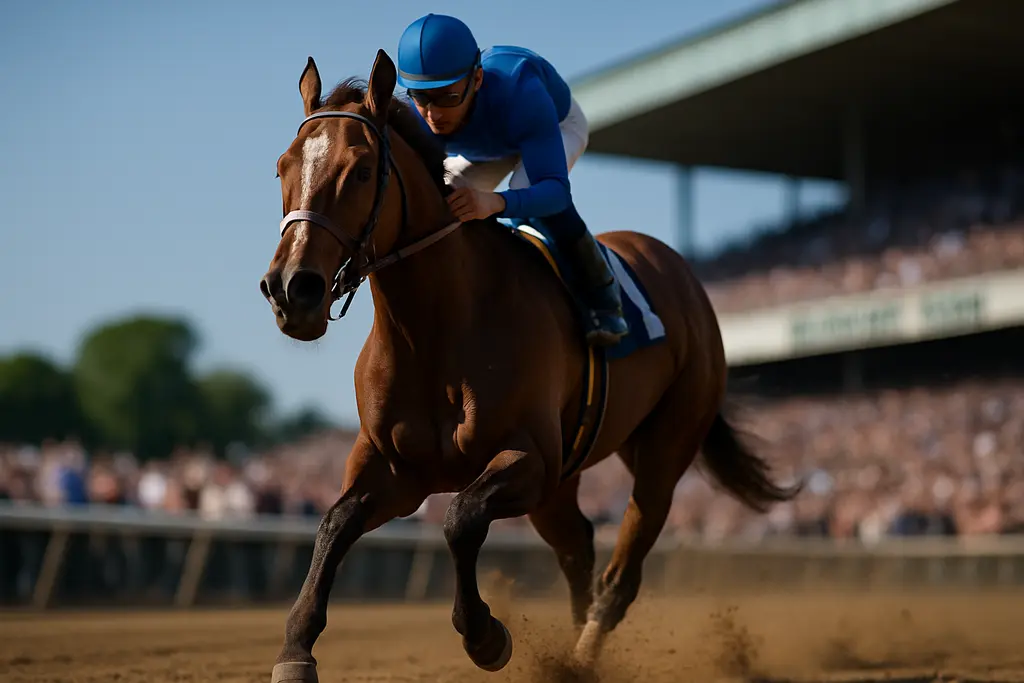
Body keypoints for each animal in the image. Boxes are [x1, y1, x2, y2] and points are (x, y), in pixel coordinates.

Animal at [259, 49, 799, 682]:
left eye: (362, 170)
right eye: (282, 167)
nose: (291, 290)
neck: (437, 330)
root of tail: (679, 269)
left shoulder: (532, 458)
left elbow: (461, 517)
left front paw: (486, 636)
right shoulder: (395, 469)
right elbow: (334, 525)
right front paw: (296, 649)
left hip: (663, 449)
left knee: (621, 569)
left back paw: (583, 655)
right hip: (567, 476)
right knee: (577, 546)